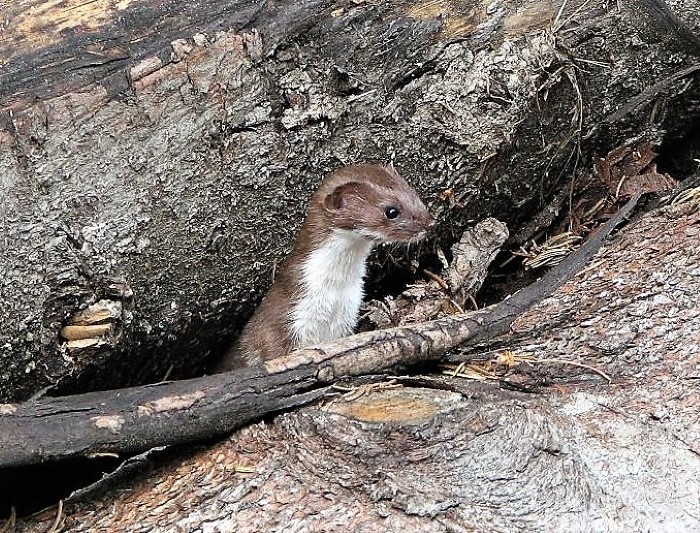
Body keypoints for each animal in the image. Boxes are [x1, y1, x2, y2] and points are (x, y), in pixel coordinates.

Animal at [219, 163, 434, 370]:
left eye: (413, 193)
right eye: (391, 211)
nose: (429, 223)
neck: (334, 294)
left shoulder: (344, 320)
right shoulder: (282, 321)